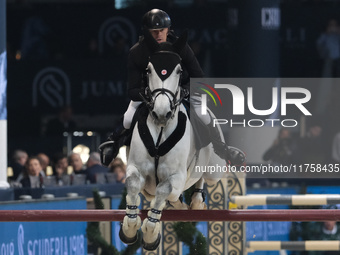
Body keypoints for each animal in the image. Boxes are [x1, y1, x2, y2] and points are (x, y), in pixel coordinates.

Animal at [118, 30, 227, 250]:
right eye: (149, 70)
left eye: (178, 71)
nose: (162, 113)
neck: (161, 129)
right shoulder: (136, 169)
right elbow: (134, 185)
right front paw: (129, 229)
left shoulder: (176, 177)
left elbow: (164, 189)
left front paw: (151, 234)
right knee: (172, 198)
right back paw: (183, 205)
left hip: (214, 171)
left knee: (201, 178)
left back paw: (196, 201)